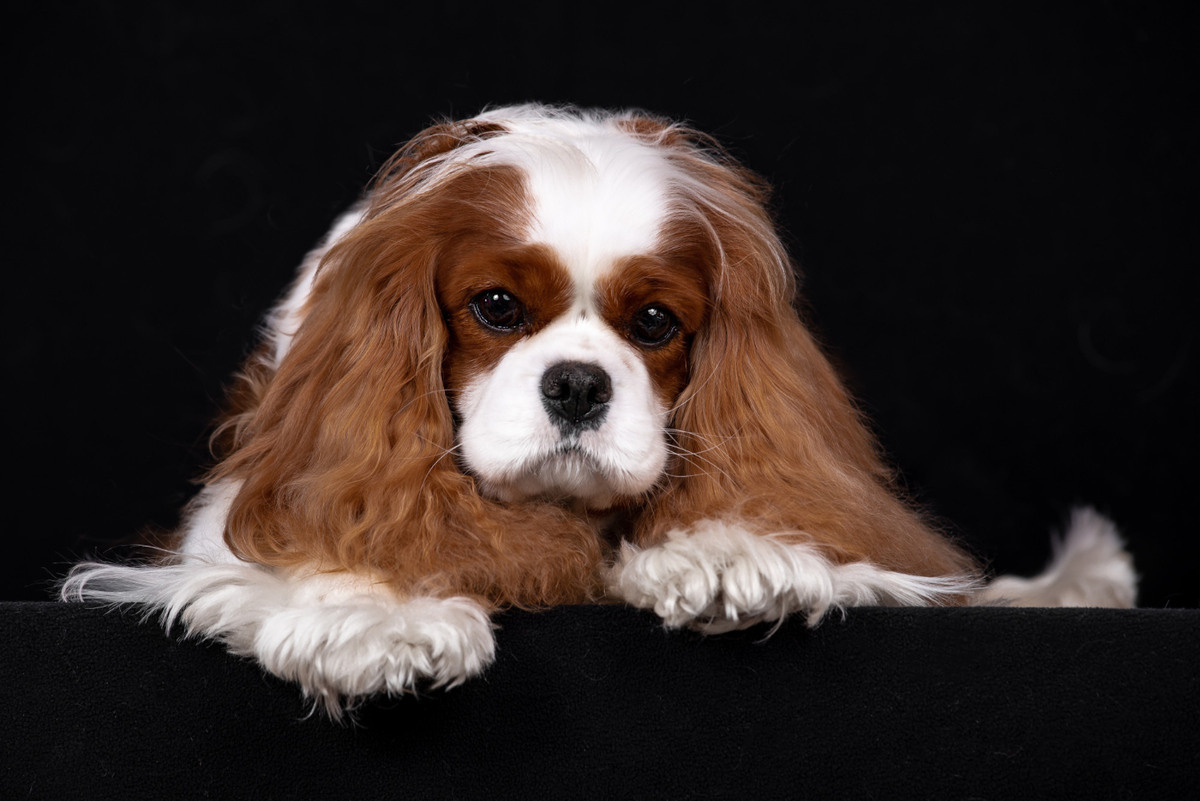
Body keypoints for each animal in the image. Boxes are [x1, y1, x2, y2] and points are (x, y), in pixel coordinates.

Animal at [63, 104, 1132, 714]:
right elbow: (332, 525)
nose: (578, 383)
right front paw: (368, 607)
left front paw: (726, 549)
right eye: (497, 306)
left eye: (655, 322)